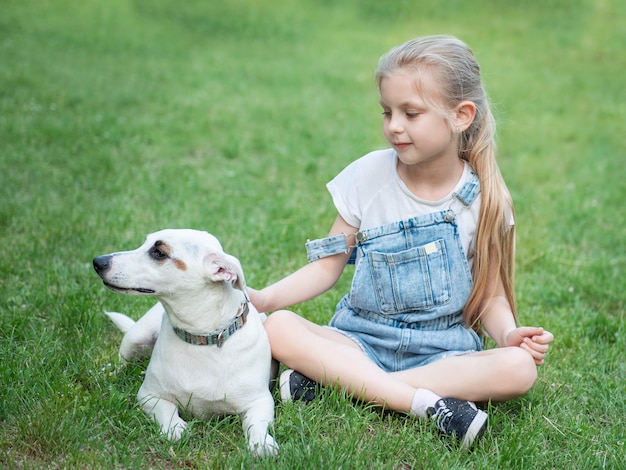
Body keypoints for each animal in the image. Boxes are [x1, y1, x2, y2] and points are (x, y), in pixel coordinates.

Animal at [92, 229, 278, 458]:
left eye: (159, 253)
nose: (98, 262)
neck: (201, 339)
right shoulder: (149, 395)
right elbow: (167, 411)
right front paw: (174, 427)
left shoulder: (260, 401)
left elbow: (257, 423)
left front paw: (261, 443)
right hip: (136, 337)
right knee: (120, 363)